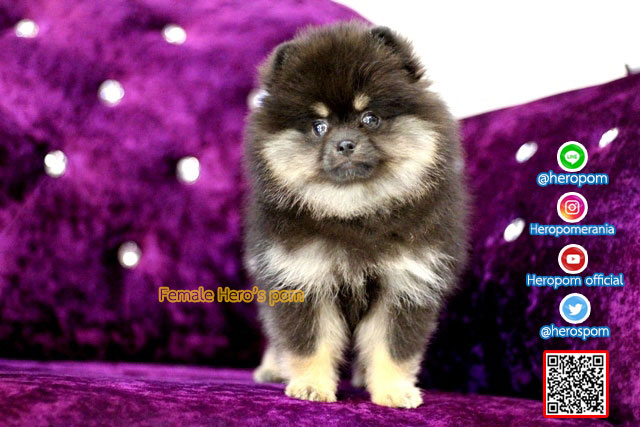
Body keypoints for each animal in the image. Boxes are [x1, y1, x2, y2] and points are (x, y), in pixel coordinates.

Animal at [243, 22, 468, 408]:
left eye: (370, 118)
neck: (354, 212)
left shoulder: (405, 283)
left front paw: (393, 390)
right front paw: (310, 386)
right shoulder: (302, 278)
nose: (345, 143)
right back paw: (274, 368)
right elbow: (310, 343)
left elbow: (392, 347)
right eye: (319, 126)